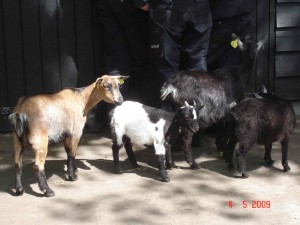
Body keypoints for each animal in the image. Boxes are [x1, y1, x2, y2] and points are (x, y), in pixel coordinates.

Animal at [161, 33, 266, 169]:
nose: (253, 55)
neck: (240, 72)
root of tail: (171, 86)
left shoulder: (221, 112)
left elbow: (220, 129)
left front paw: (220, 148)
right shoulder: (231, 109)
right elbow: (227, 132)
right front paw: (225, 152)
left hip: (170, 111)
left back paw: (169, 164)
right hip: (188, 115)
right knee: (186, 140)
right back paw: (193, 164)